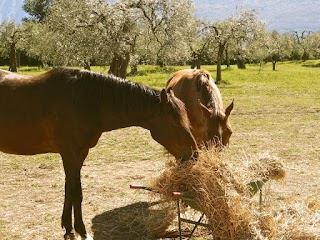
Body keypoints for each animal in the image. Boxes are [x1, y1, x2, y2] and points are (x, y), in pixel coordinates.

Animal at [0, 67, 198, 240]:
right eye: (175, 122)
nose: (194, 154)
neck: (85, 100)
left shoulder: (79, 154)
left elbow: (69, 190)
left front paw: (69, 229)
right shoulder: (70, 154)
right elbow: (76, 192)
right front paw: (82, 231)